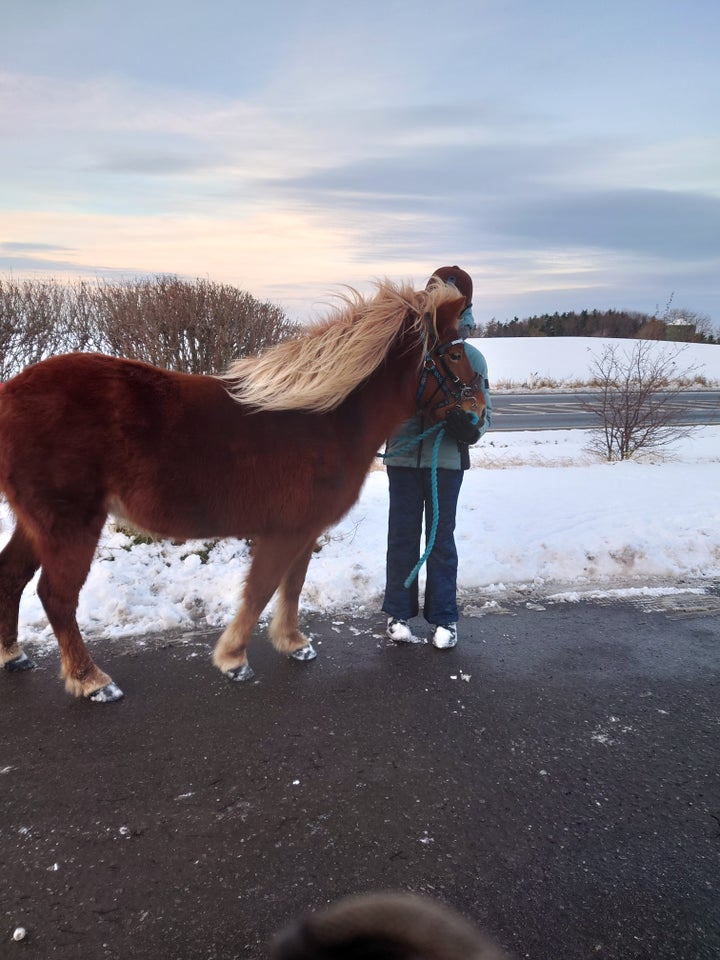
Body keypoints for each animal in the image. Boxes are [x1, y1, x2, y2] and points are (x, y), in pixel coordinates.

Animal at [0, 282, 486, 700]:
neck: (326, 420)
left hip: (37, 524)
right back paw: (91, 680)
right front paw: (234, 659)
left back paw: (13, 654)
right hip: (69, 525)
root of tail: (10, 392)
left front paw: (292, 643)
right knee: (56, 597)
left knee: (12, 575)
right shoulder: (283, 532)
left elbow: (292, 586)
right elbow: (261, 589)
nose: (477, 417)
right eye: (455, 353)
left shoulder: (305, 530)